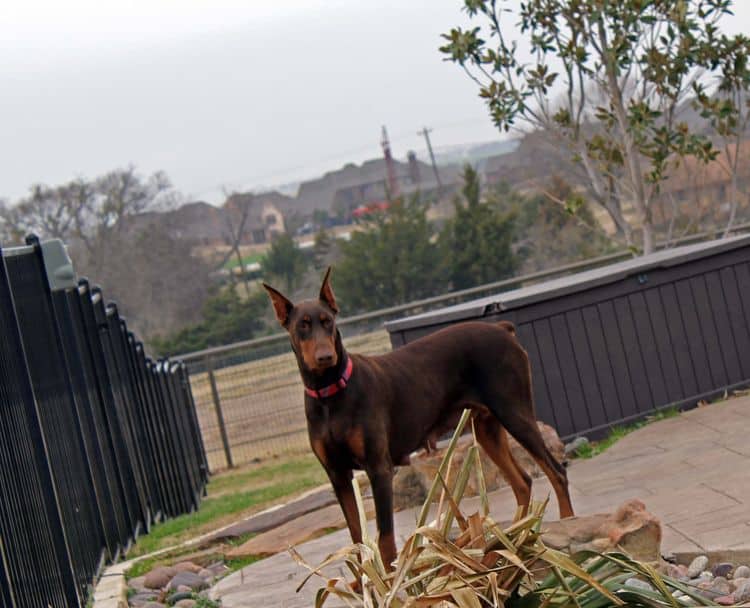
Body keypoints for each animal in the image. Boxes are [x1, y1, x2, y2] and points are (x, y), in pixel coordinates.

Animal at [264, 268, 576, 568]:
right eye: (303, 325)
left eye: (328, 321)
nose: (325, 357)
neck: (329, 394)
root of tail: (502, 329)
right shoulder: (337, 475)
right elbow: (356, 538)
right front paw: (367, 580)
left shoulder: (378, 468)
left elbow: (385, 538)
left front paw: (392, 579)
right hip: (487, 428)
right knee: (522, 482)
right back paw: (512, 543)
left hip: (514, 412)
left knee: (556, 472)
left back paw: (565, 527)